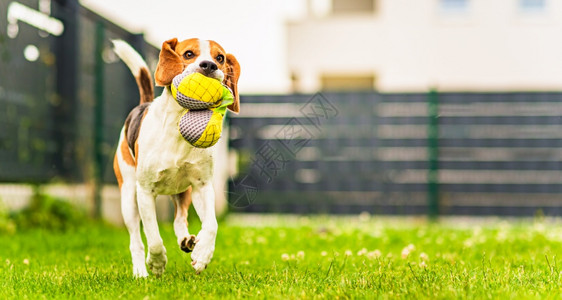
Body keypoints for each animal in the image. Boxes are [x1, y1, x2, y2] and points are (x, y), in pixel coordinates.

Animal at [111, 38, 238, 278]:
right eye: (188, 54)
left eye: (220, 58)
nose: (209, 65)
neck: (179, 123)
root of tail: (143, 104)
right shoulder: (145, 192)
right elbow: (153, 238)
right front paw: (157, 263)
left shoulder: (202, 186)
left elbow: (212, 225)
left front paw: (203, 254)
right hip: (128, 195)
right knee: (136, 240)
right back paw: (140, 272)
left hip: (183, 191)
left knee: (180, 218)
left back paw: (187, 240)